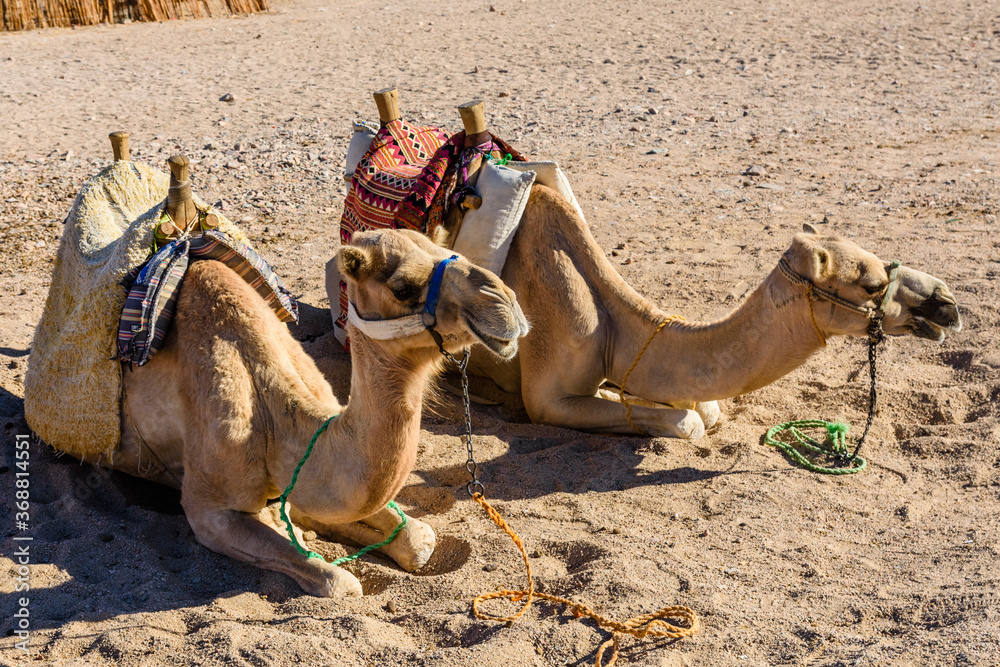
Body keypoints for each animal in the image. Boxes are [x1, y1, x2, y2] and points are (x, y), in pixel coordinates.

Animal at [80, 146, 529, 597]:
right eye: (402, 288)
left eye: (456, 253)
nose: (506, 305)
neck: (273, 415)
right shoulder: (209, 509)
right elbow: (338, 582)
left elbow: (417, 538)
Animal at [343, 95, 961, 439]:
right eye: (871, 282)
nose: (947, 304)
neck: (619, 321)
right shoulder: (548, 399)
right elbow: (690, 421)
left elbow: (706, 408)